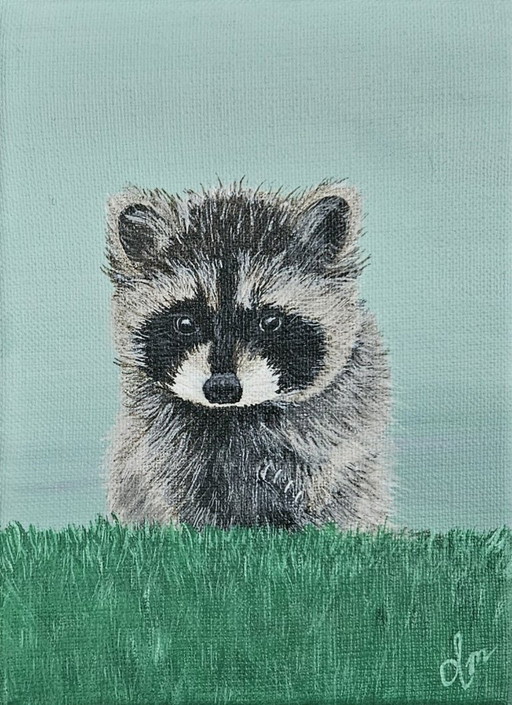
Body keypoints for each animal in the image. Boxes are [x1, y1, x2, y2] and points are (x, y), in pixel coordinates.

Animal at [103, 180, 394, 530]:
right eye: (185, 323)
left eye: (269, 322)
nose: (222, 388)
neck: (235, 414)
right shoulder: (164, 449)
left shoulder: (339, 427)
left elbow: (329, 487)